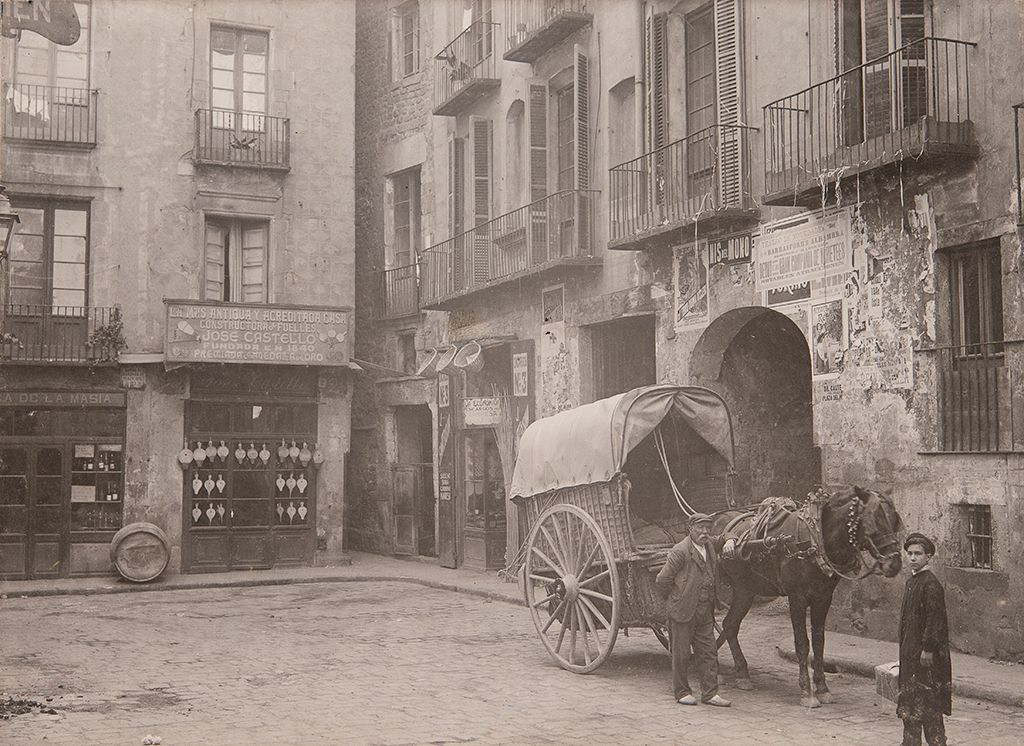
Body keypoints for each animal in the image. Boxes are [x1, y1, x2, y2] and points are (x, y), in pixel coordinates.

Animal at [712, 485, 905, 708]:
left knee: (729, 625)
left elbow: (819, 643)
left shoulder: (823, 598)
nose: (894, 563)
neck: (813, 540)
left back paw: (738, 672)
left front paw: (822, 688)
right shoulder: (797, 598)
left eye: (895, 520)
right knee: (722, 624)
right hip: (741, 590)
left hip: (746, 589)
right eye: (873, 520)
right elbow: (802, 644)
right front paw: (806, 692)